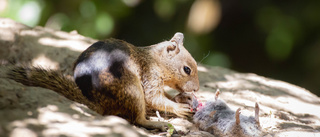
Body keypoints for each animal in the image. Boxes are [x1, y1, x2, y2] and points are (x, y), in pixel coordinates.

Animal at [6, 32, 198, 131]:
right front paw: (179, 107)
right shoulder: (149, 75)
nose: (196, 89)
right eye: (187, 69)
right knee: (137, 119)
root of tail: (98, 103)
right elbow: (154, 98)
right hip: (133, 89)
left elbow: (163, 96)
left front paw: (184, 98)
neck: (154, 59)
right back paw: (155, 123)